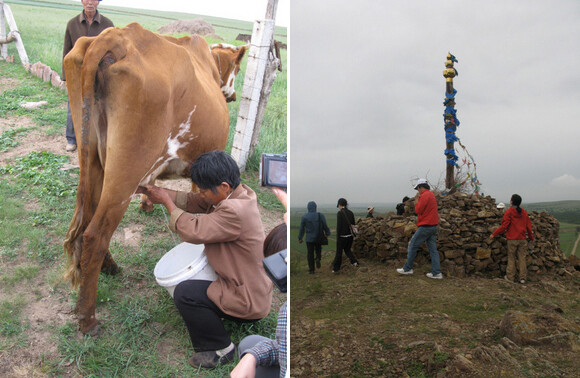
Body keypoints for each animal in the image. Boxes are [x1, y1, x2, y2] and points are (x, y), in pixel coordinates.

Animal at [62, 22, 247, 332]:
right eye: (239, 68)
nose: (232, 95)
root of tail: (116, 36)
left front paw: (148, 204)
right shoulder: (204, 167)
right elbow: (202, 208)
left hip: (94, 159)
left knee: (86, 220)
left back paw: (109, 268)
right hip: (127, 167)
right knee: (96, 233)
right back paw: (88, 318)